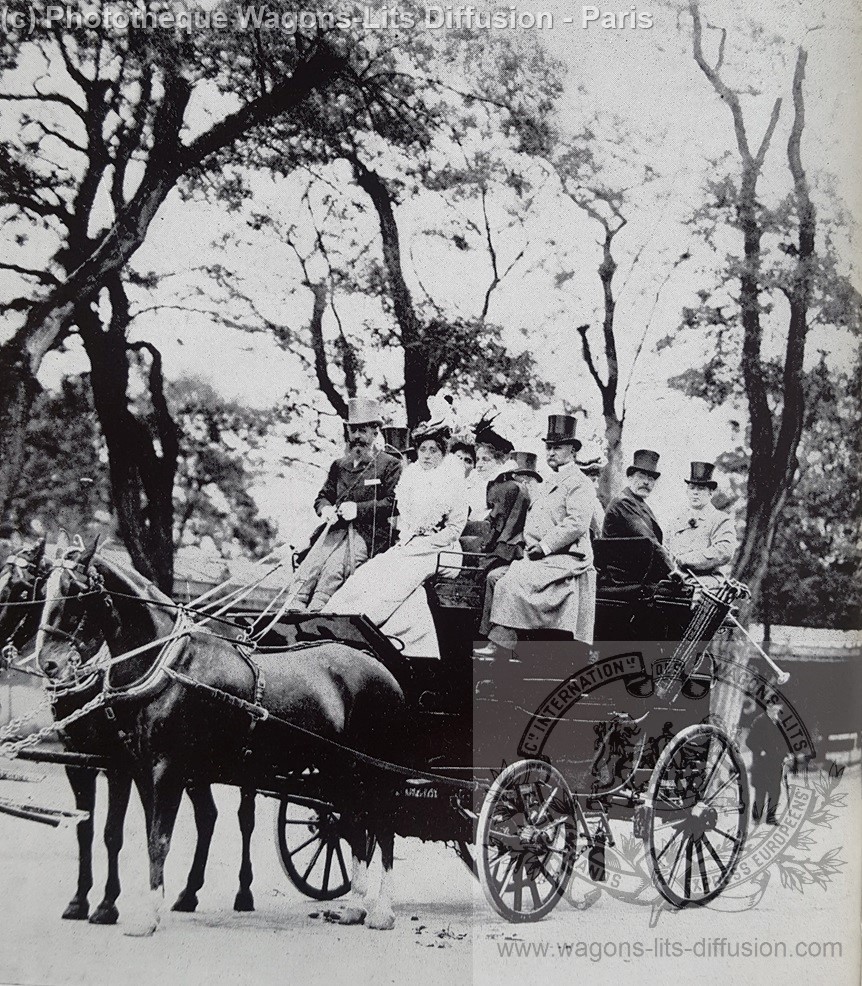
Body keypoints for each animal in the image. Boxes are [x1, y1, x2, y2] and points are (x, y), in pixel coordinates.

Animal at [1, 540, 256, 928]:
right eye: (43, 593)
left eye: (19, 589)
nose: (50, 664)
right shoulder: (80, 761)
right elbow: (87, 828)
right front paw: (80, 900)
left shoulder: (118, 764)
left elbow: (113, 833)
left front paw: (108, 904)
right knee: (207, 816)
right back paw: (188, 893)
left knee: (245, 821)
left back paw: (243, 892)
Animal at [35, 540, 406, 936]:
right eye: (44, 587)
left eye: (76, 591)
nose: (48, 663)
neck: (171, 666)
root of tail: (381, 668)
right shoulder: (138, 767)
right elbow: (139, 835)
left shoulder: (166, 768)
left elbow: (157, 839)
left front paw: (146, 915)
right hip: (340, 771)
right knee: (354, 824)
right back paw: (354, 907)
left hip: (374, 770)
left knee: (383, 826)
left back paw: (381, 911)